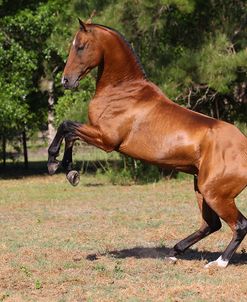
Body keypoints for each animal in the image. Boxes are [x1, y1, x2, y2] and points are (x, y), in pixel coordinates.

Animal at [48, 20, 247, 268]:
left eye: (81, 46)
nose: (66, 81)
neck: (122, 91)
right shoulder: (96, 134)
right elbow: (69, 134)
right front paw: (69, 171)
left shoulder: (105, 139)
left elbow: (66, 126)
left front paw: (54, 162)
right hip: (201, 189)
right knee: (211, 225)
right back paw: (173, 252)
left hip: (215, 193)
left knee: (239, 225)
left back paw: (218, 262)